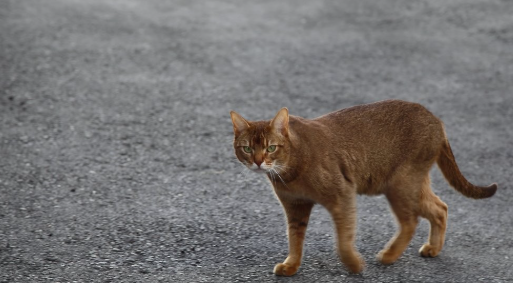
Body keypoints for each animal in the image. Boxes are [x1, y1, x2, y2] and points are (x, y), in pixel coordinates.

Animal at [229, 100, 496, 278]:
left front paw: (353, 265)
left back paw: (389, 256)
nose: (258, 161)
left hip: (400, 183)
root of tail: (437, 121)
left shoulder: (342, 194)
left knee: (412, 220)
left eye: (271, 148)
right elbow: (295, 239)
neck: (290, 171)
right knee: (440, 207)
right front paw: (291, 266)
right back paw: (432, 248)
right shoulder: (295, 206)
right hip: (412, 184)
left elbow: (343, 238)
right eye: (248, 148)